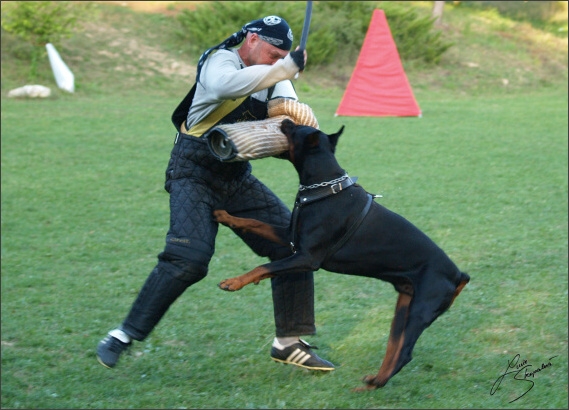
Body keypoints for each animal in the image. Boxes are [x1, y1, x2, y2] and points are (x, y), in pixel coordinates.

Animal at [211, 119, 468, 390]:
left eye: (294, 129)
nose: (285, 120)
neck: (325, 189)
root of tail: (458, 274)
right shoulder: (290, 238)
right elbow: (254, 222)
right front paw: (225, 216)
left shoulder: (307, 258)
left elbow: (264, 267)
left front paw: (233, 282)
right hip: (403, 308)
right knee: (394, 346)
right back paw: (374, 380)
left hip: (420, 309)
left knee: (404, 353)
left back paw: (372, 386)